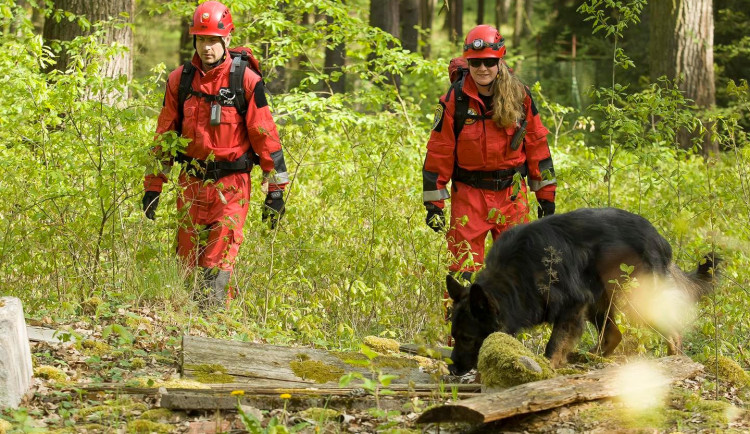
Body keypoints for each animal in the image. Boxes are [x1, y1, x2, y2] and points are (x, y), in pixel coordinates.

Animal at [450, 206, 720, 372]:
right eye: (454, 336)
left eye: (467, 338)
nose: (453, 369)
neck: (514, 278)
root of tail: (658, 238)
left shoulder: (572, 305)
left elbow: (555, 343)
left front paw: (549, 367)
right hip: (601, 303)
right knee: (614, 335)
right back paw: (591, 357)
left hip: (634, 300)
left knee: (672, 332)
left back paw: (673, 361)